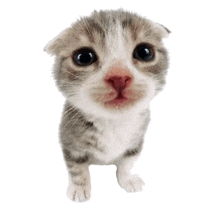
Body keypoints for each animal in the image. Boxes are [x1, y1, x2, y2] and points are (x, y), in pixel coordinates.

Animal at [44, 9, 170, 203]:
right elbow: (76, 168)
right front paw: (79, 188)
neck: (113, 121)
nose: (119, 76)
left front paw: (127, 179)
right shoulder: (69, 140)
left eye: (144, 52)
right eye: (83, 57)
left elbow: (127, 162)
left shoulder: (137, 140)